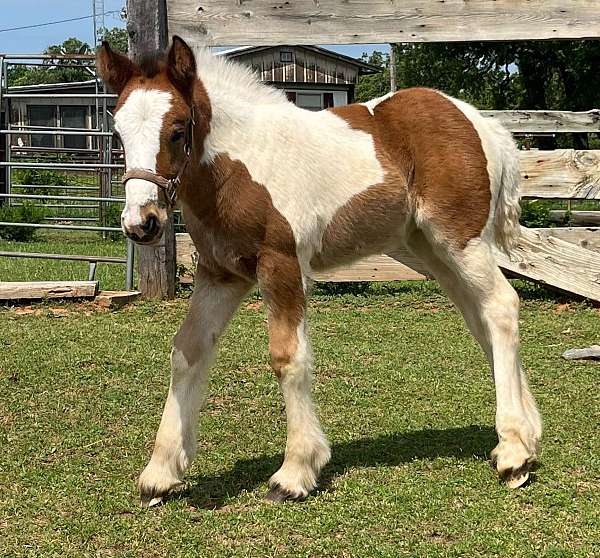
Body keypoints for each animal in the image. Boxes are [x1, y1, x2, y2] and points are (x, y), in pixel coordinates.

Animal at [96, 37, 540, 506]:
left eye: (178, 129)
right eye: (118, 133)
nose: (141, 223)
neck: (243, 163)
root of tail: (482, 124)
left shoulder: (282, 265)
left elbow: (287, 356)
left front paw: (295, 471)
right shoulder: (221, 274)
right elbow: (187, 350)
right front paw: (160, 472)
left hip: (461, 243)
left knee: (501, 307)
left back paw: (514, 452)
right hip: (434, 251)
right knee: (481, 320)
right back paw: (529, 437)